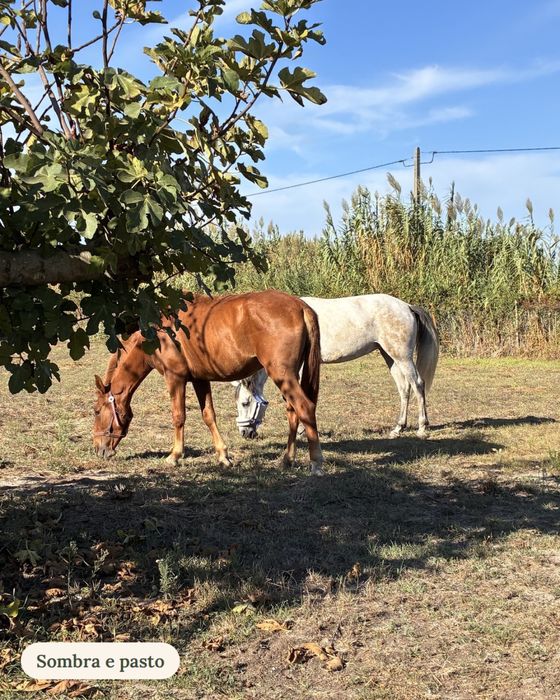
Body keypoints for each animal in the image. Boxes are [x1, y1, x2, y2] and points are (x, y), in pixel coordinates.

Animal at [93, 290, 325, 474]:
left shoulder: (175, 378)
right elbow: (208, 415)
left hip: (282, 374)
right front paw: (223, 456)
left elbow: (178, 416)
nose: (98, 449)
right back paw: (287, 460)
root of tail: (301, 306)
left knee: (305, 407)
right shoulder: (200, 379)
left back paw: (316, 462)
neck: (158, 334)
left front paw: (174, 456)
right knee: (293, 411)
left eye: (96, 411)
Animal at [233, 293, 439, 439]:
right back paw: (398, 428)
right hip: (390, 356)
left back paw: (422, 428)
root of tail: (407, 307)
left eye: (245, 402)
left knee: (417, 384)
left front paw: (300, 431)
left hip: (402, 357)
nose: (245, 434)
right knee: (404, 388)